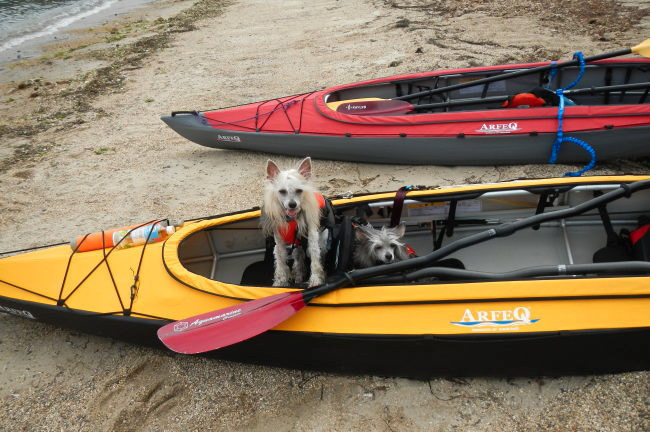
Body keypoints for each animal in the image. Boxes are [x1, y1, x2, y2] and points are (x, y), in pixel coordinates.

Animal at [260, 156, 324, 286]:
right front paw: (280, 282)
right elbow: (281, 264)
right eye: (282, 191)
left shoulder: (311, 239)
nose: (292, 204)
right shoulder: (279, 244)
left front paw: (315, 279)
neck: (291, 219)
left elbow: (315, 260)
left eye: (299, 190)